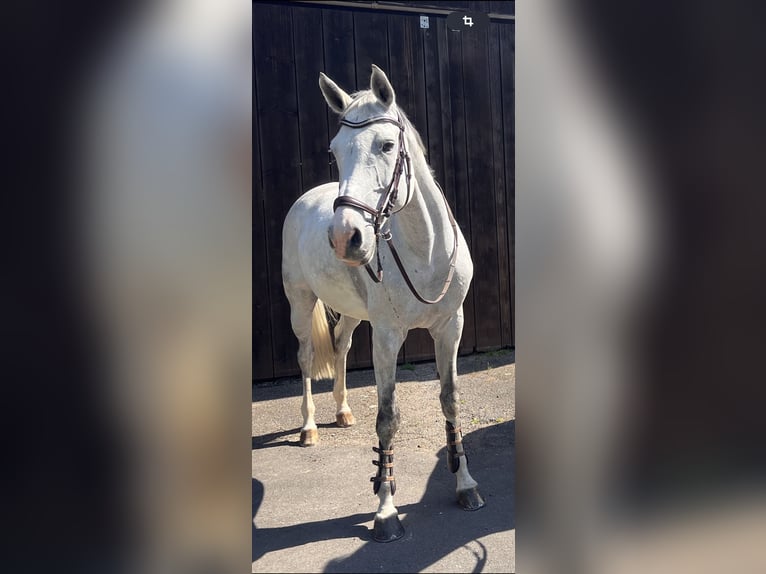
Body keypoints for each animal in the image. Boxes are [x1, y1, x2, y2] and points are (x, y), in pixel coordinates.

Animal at [281, 65, 485, 542]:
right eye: (335, 151)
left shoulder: (450, 326)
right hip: (300, 302)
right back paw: (310, 427)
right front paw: (386, 510)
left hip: (354, 315)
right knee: (305, 357)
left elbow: (451, 400)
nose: (345, 237)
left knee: (339, 345)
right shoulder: (388, 337)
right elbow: (388, 418)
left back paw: (342, 411)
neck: (424, 250)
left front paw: (465, 485)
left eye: (387, 145)